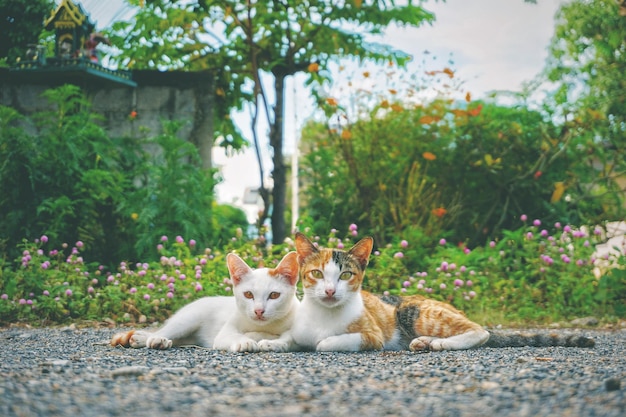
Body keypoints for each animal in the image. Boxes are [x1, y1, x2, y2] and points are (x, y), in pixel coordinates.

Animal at [110, 250, 300, 352]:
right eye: (248, 295)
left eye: (274, 295)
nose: (259, 311)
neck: (266, 327)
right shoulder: (225, 334)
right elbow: (232, 336)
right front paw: (245, 341)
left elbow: (288, 339)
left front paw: (272, 343)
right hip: (187, 320)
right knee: (164, 331)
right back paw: (152, 339)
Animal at [290, 234, 592, 352]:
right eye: (317, 274)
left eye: (346, 275)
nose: (330, 290)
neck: (324, 316)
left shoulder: (373, 335)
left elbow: (326, 342)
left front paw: (325, 341)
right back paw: (424, 342)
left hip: (413, 311)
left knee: (480, 332)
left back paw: (439, 343)